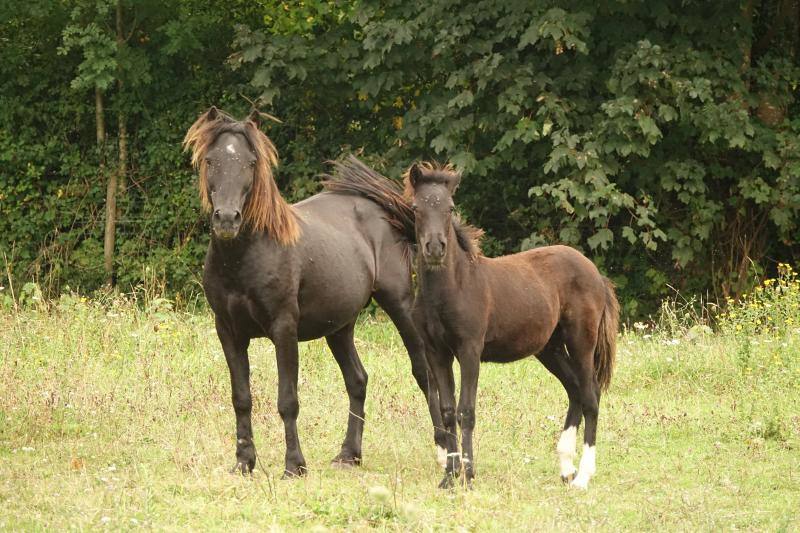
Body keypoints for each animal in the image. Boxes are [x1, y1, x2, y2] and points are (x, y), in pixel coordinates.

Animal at [184, 106, 444, 476]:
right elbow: (241, 398)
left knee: (424, 373)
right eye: (210, 160)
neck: (244, 257)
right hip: (340, 327)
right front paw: (244, 462)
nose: (227, 219)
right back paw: (348, 454)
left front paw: (294, 466)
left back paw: (444, 449)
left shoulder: (284, 329)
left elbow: (287, 400)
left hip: (400, 306)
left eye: (250, 162)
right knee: (358, 380)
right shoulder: (228, 331)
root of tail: (380, 209)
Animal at [406, 163, 620, 490]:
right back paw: (565, 467)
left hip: (582, 341)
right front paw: (449, 476)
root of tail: (596, 273)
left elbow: (466, 410)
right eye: (416, 208)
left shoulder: (470, 350)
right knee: (574, 390)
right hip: (550, 348)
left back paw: (583, 476)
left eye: (450, 207)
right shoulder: (436, 352)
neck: (451, 287)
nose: (435, 248)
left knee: (591, 395)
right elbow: (447, 411)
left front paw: (468, 474)